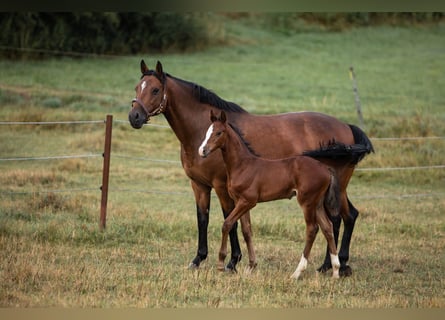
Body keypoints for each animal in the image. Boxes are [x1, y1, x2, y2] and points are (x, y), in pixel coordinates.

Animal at [198, 110, 340, 280]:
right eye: (207, 132)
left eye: (219, 132)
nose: (202, 151)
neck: (242, 165)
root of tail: (326, 168)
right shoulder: (241, 201)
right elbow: (247, 230)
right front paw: (251, 266)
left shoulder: (248, 201)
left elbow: (227, 223)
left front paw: (220, 264)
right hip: (317, 203)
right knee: (327, 227)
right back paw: (336, 271)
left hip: (307, 202)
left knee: (312, 229)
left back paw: (297, 272)